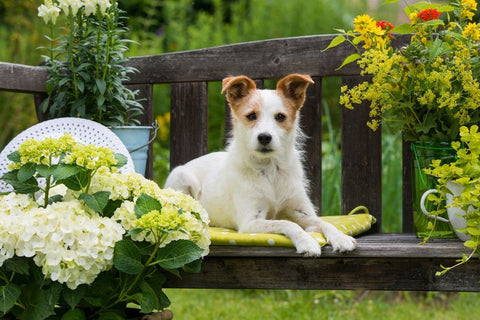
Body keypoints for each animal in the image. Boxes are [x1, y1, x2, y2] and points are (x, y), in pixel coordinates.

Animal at [165, 74, 356, 256]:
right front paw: (307, 242)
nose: (264, 137)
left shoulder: (302, 212)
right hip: (181, 178)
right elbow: (286, 223)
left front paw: (341, 237)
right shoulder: (251, 221)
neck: (271, 171)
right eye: (251, 116)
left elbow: (323, 222)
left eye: (280, 117)